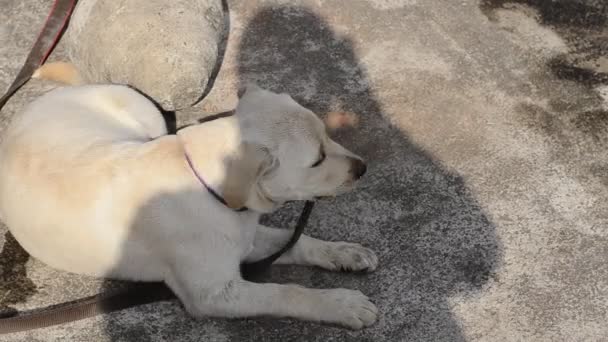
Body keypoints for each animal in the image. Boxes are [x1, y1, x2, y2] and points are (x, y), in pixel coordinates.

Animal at [0, 82, 378, 328]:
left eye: (328, 135)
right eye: (318, 159)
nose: (363, 167)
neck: (208, 184)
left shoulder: (245, 237)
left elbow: (298, 241)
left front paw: (344, 252)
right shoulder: (213, 293)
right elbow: (285, 292)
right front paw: (341, 303)